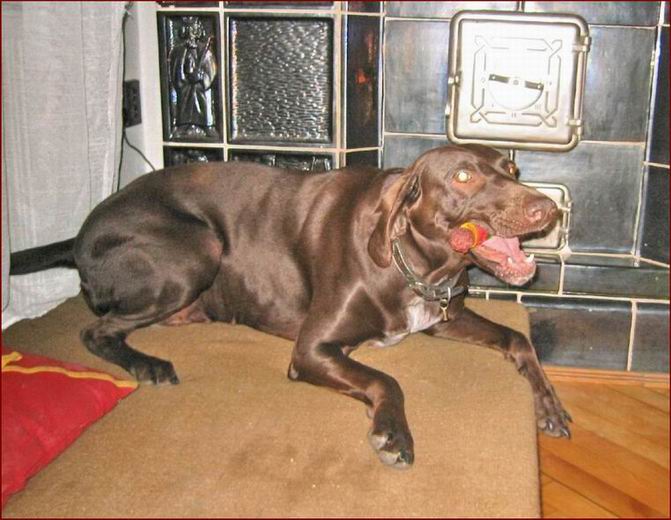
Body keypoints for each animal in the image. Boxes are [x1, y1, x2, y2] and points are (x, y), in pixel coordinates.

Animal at [10, 144, 571, 468]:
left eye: (512, 167)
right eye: (462, 177)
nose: (548, 208)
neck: (415, 265)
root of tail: (80, 234)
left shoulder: (442, 317)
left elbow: (518, 338)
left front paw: (549, 405)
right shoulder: (312, 349)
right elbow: (386, 379)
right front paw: (392, 431)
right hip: (198, 248)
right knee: (96, 330)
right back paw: (148, 365)